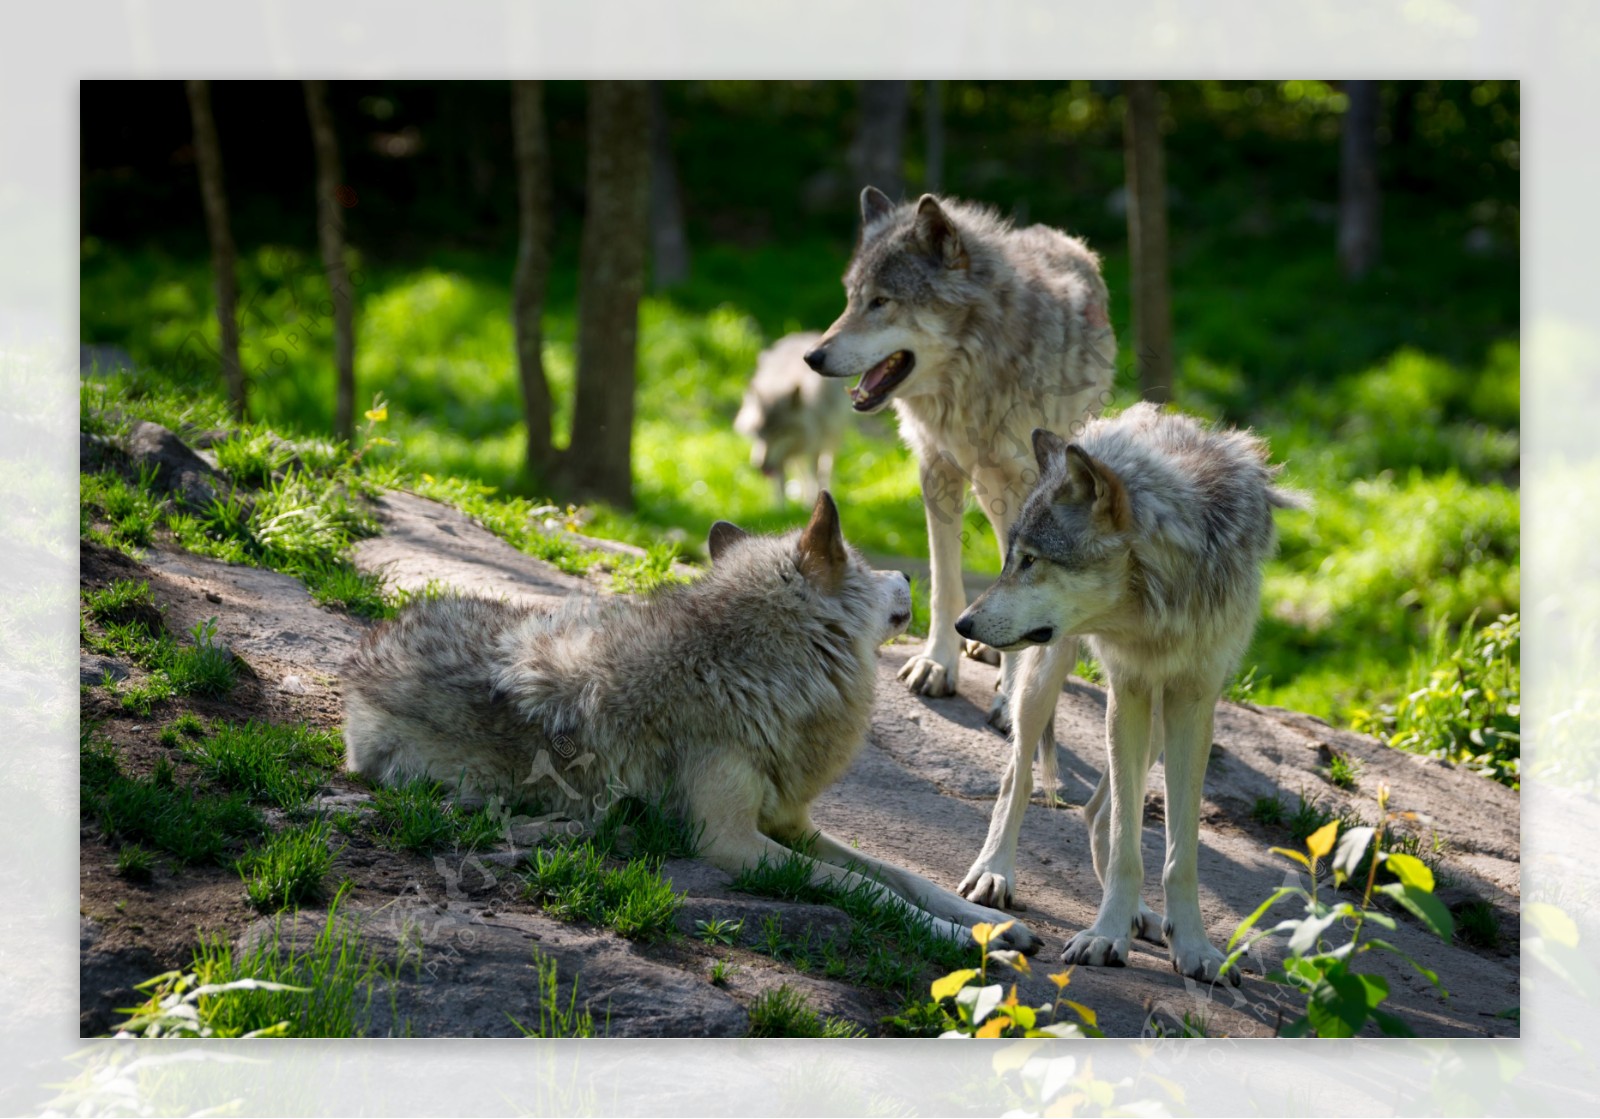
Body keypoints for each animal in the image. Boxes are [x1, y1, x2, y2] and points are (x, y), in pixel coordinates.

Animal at [342, 493, 1036, 954]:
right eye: (862, 564)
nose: (909, 573)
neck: (745, 670)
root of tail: (364, 650)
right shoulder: (733, 842)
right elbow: (871, 891)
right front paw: (973, 943)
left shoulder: (793, 824)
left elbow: (907, 877)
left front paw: (997, 924)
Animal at [732, 329, 851, 505]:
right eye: (759, 432)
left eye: (778, 432)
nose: (760, 466)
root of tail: (804, 333)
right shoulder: (781, 456)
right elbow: (780, 486)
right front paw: (780, 508)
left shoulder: (814, 446)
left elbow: (815, 474)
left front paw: (812, 501)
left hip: (832, 439)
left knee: (825, 468)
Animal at [812, 185, 1113, 787]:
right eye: (851, 298)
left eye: (882, 302)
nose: (813, 356)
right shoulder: (937, 470)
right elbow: (945, 581)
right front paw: (938, 662)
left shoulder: (1025, 487)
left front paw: (1009, 699)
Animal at [947, 406, 1299, 986]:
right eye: (1011, 560)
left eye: (1032, 561)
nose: (962, 624)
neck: (1160, 598)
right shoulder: (1128, 687)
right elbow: (1127, 850)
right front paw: (1105, 936)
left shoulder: (1193, 699)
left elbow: (1179, 852)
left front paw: (1195, 948)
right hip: (1047, 680)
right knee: (1018, 778)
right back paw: (993, 874)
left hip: (1156, 722)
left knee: (1096, 813)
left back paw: (1142, 916)